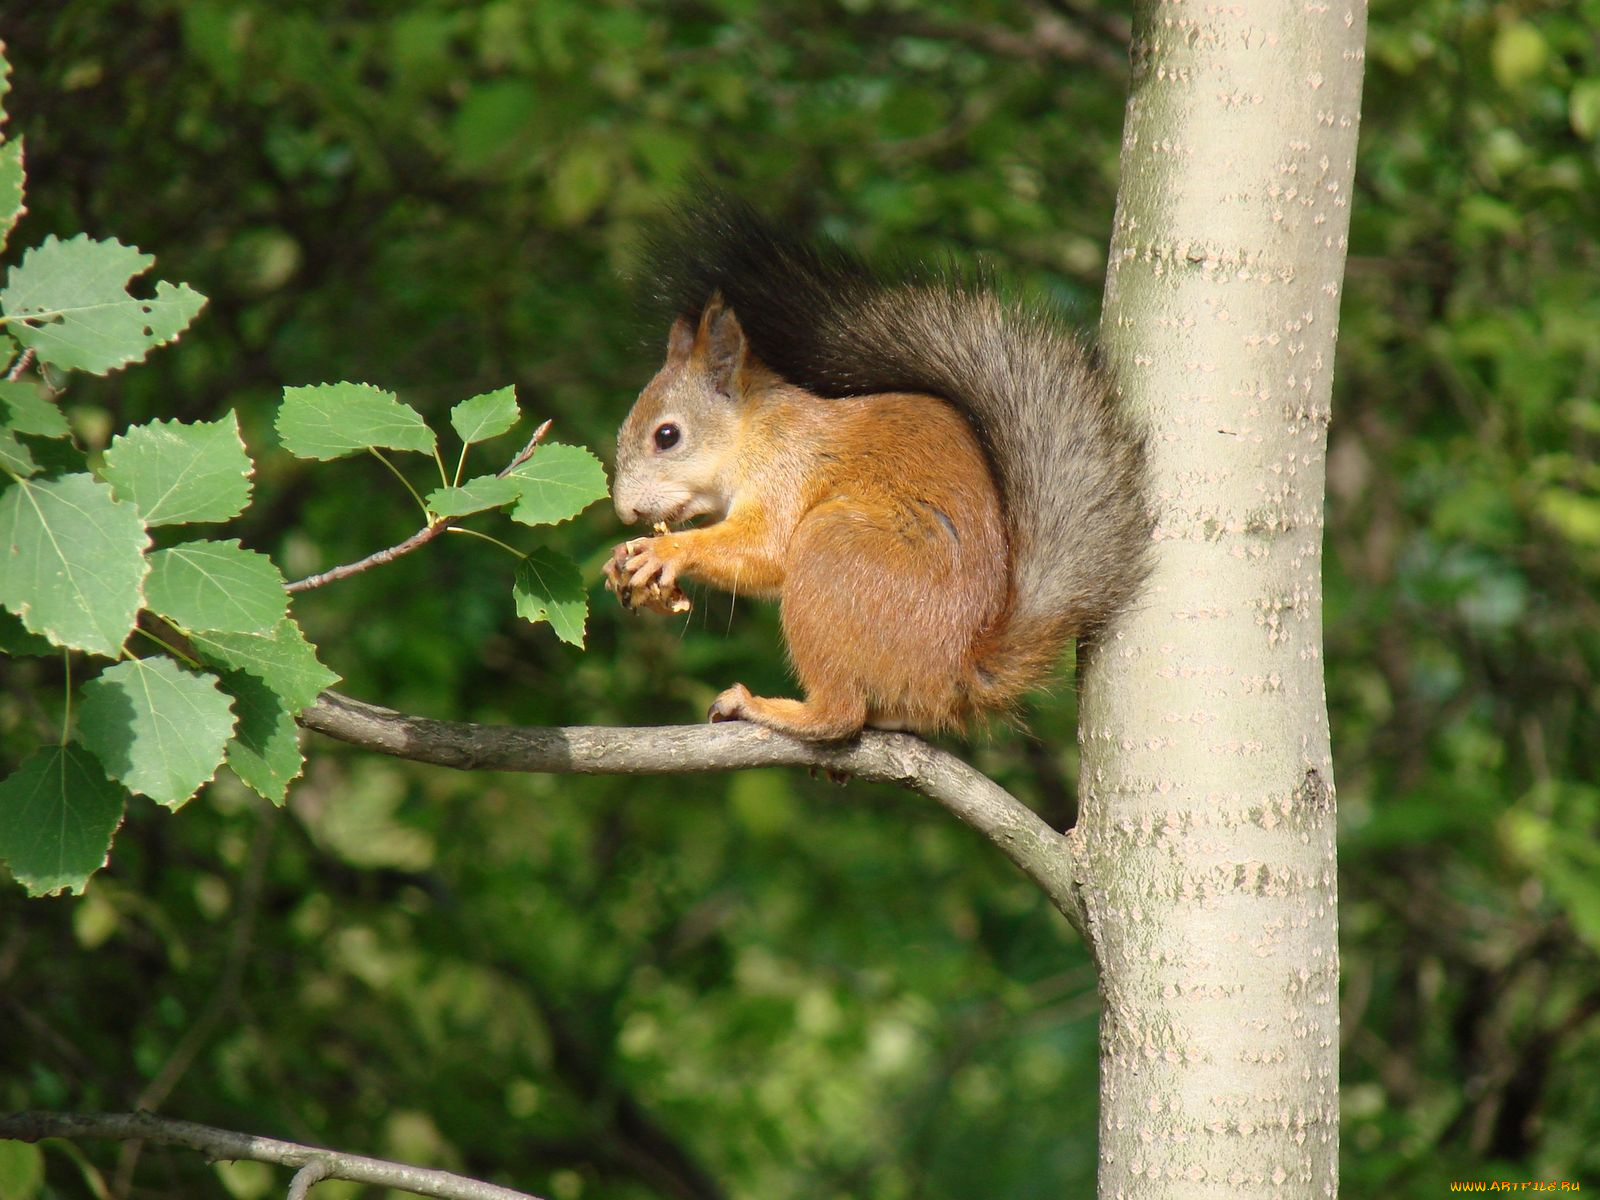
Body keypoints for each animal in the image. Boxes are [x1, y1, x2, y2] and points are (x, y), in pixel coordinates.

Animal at [601, 196, 1152, 742]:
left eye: (667, 436)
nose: (625, 511)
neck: (756, 432)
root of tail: (957, 671)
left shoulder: (789, 470)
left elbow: (767, 548)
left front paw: (667, 549)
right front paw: (619, 560)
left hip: (833, 551)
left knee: (839, 713)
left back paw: (768, 708)